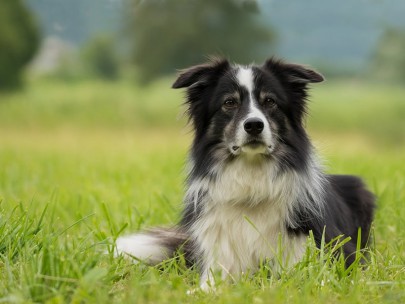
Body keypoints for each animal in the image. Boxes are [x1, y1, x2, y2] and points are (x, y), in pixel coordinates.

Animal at [115, 57, 374, 292]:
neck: (251, 183)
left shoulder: (319, 254)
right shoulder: (218, 261)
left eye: (270, 101)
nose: (254, 125)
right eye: (229, 102)